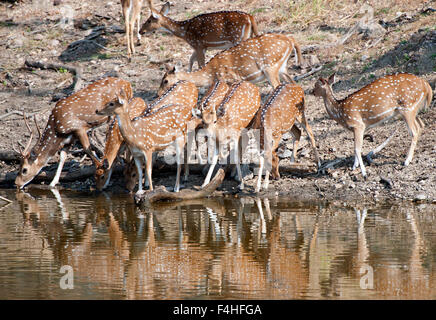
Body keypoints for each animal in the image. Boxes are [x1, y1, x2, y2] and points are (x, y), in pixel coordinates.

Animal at [158, 33, 302, 95]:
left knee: (278, 86)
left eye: (165, 81)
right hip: (282, 68)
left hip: (270, 67)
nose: (158, 94)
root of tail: (291, 40)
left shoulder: (230, 79)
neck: (210, 74)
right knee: (294, 84)